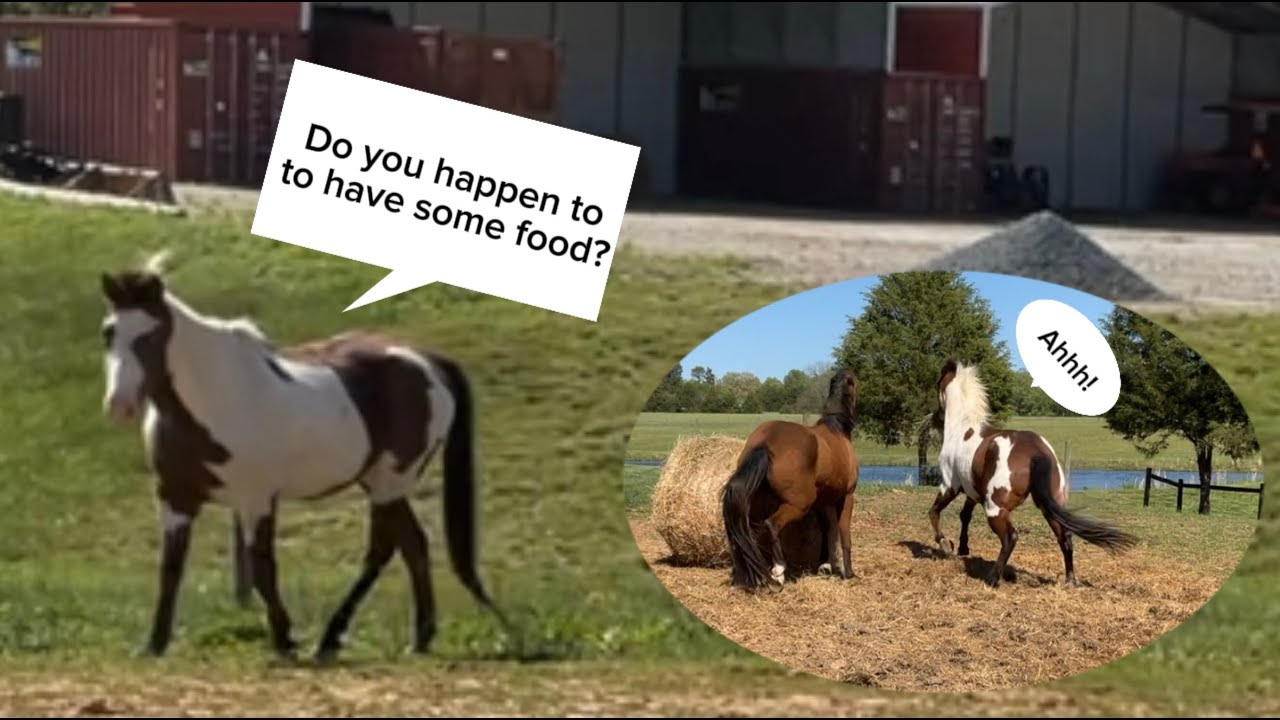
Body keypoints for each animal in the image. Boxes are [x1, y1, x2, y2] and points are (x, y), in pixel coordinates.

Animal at [98, 253, 506, 660]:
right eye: (109, 332)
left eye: (152, 334)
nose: (120, 405)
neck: (217, 396)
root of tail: (428, 362)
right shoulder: (175, 498)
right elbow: (171, 567)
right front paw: (154, 644)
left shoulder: (255, 500)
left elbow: (263, 568)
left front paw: (284, 639)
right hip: (380, 482)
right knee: (413, 546)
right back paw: (418, 636)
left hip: (389, 481)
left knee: (382, 550)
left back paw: (333, 638)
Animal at [721, 370, 861, 590]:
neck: (836, 430)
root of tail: (765, 444)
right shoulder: (847, 496)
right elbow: (843, 531)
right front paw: (849, 572)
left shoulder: (822, 502)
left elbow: (825, 529)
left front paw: (825, 565)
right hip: (799, 504)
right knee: (771, 525)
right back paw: (778, 570)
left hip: (759, 506)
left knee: (748, 534)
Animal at [929, 358, 1138, 587]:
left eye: (937, 383)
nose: (935, 418)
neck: (961, 429)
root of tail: (1037, 451)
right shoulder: (973, 492)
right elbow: (964, 516)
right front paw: (962, 548)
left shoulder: (949, 485)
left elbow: (934, 512)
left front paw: (944, 543)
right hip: (1050, 506)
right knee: (1065, 538)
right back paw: (1070, 581)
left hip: (995, 509)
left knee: (1010, 537)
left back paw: (993, 578)